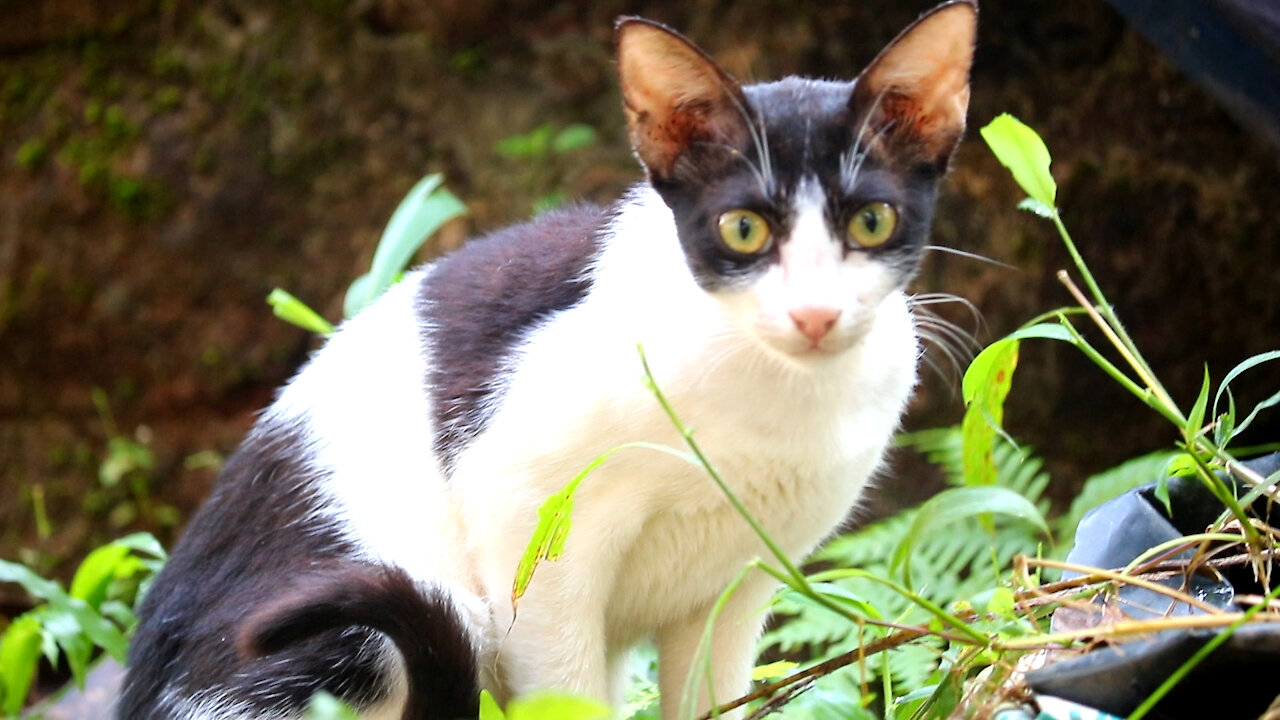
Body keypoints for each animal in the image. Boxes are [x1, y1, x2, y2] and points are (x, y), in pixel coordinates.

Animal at [120, 2, 972, 712]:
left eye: (870, 221)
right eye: (744, 230)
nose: (815, 315)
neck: (767, 401)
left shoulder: (739, 582)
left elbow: (710, 694)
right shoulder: (529, 522)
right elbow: (565, 687)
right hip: (360, 629)